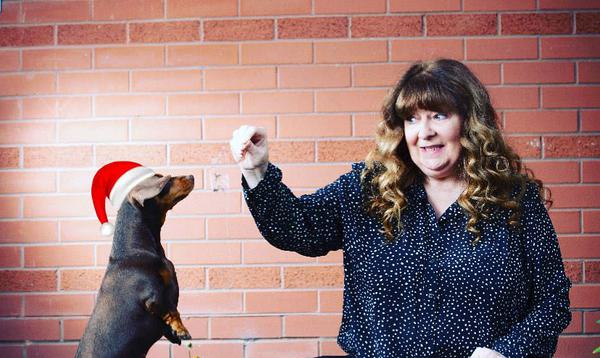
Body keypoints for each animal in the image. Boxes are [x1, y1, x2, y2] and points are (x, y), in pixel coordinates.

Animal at [75, 173, 195, 356]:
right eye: (165, 180)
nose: (192, 176)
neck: (134, 248)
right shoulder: (154, 296)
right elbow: (172, 311)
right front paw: (181, 330)